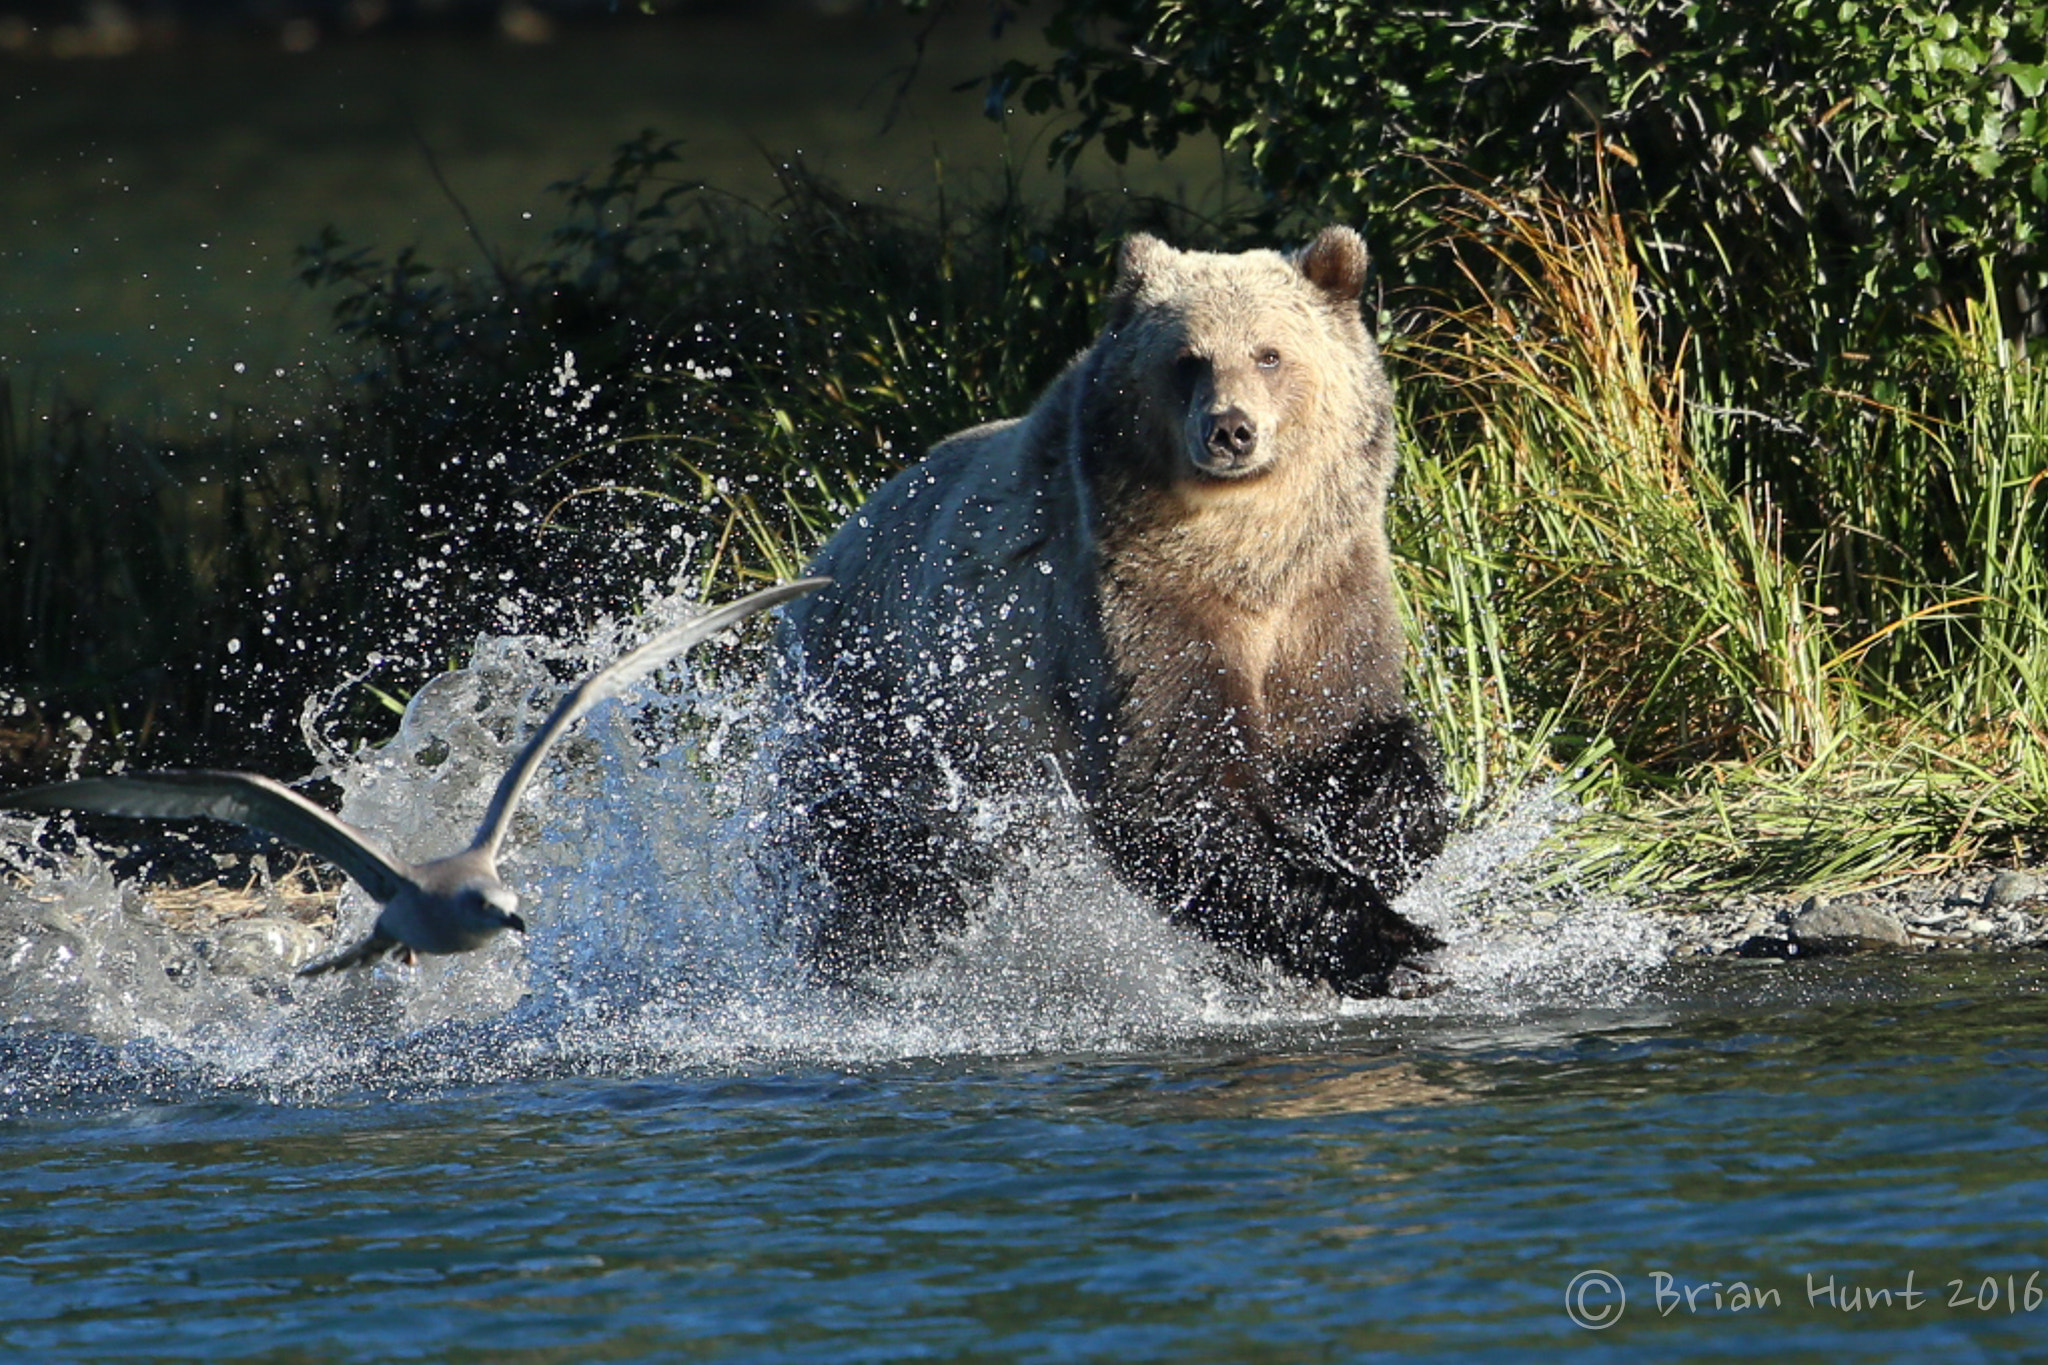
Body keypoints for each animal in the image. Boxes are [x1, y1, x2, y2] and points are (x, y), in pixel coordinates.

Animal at [774, 229, 1449, 998]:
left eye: (1269, 353)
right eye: (1188, 360)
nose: (1230, 430)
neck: (1245, 549)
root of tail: (816, 567)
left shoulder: (1327, 591)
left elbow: (1349, 731)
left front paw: (1377, 834)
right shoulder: (1137, 601)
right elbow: (1179, 792)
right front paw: (1397, 946)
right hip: (882, 721)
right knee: (883, 876)